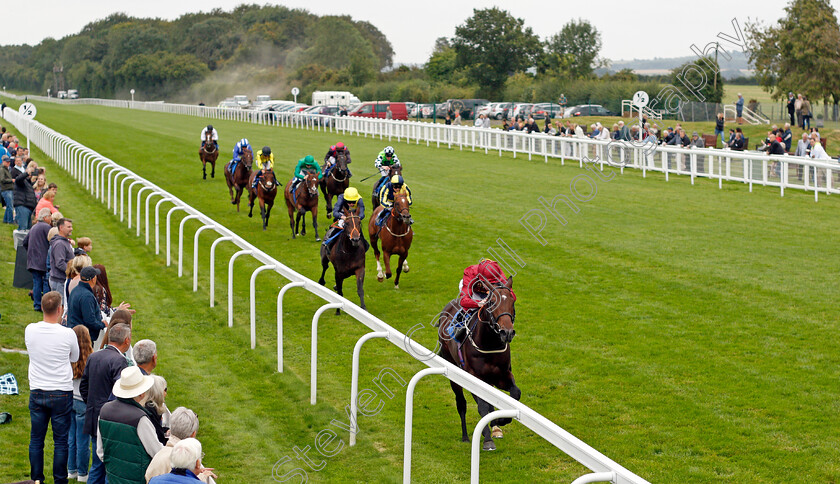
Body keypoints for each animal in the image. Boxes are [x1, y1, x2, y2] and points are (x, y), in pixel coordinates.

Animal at [436, 278, 520, 452]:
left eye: (512, 301)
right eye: (492, 302)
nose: (507, 333)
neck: (489, 344)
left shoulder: (503, 375)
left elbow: (515, 393)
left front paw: (500, 421)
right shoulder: (474, 377)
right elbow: (482, 406)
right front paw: (487, 439)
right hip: (453, 372)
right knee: (461, 403)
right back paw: (466, 436)